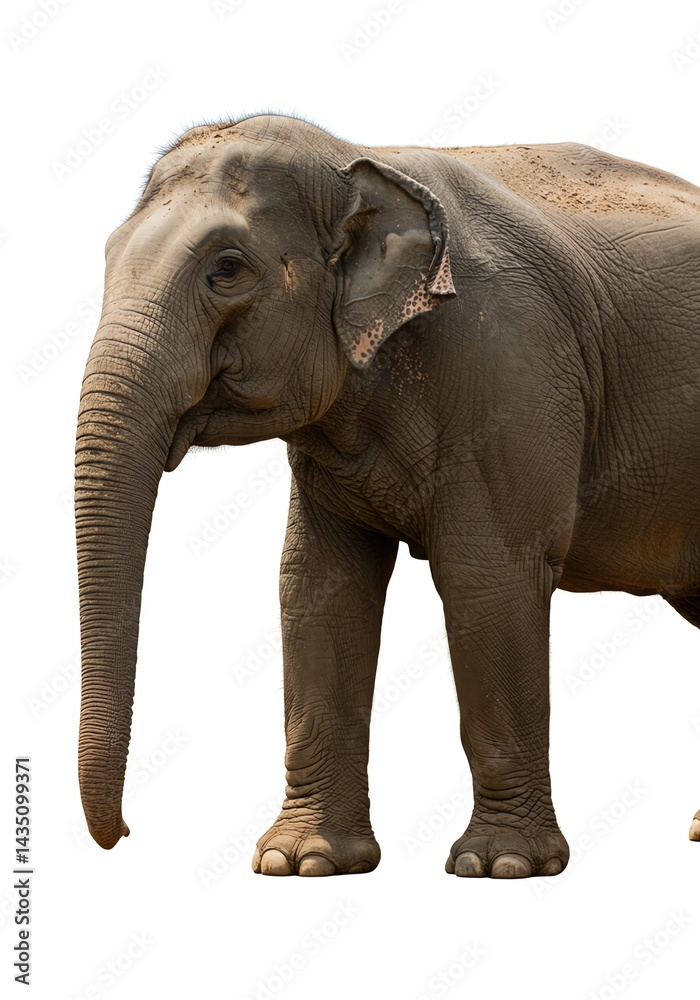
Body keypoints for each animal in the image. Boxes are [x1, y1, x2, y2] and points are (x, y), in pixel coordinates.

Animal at [75, 112, 700, 879]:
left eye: (226, 268)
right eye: (107, 255)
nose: (126, 834)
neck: (359, 160)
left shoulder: (511, 367)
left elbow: (488, 577)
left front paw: (498, 867)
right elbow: (319, 588)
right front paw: (301, 862)